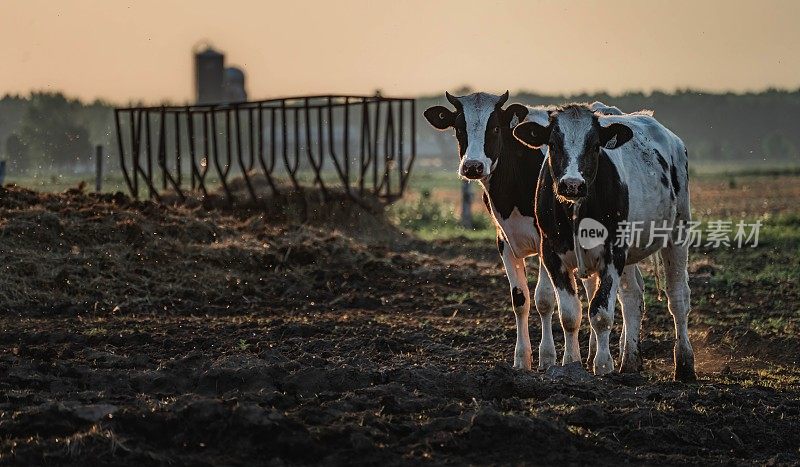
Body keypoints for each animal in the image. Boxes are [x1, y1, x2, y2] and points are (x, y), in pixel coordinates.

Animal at [516, 104, 696, 382]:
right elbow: (570, 314)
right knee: (632, 297)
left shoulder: (612, 253)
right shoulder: (551, 253)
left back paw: (684, 365)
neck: (576, 211)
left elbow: (600, 314)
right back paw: (630, 361)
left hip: (677, 232)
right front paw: (571, 364)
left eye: (594, 145)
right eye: (553, 144)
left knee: (678, 298)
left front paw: (602, 366)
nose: (572, 185)